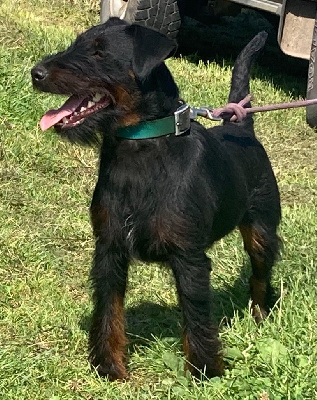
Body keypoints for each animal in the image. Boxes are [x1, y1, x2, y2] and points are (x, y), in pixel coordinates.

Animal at [31, 19, 278, 382]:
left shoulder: (189, 258)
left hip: (261, 232)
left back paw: (260, 315)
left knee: (260, 274)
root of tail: (242, 128)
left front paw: (204, 372)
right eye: (77, 44)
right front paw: (109, 366)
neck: (141, 145)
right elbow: (109, 310)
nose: (37, 73)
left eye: (100, 52)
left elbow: (196, 316)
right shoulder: (110, 249)